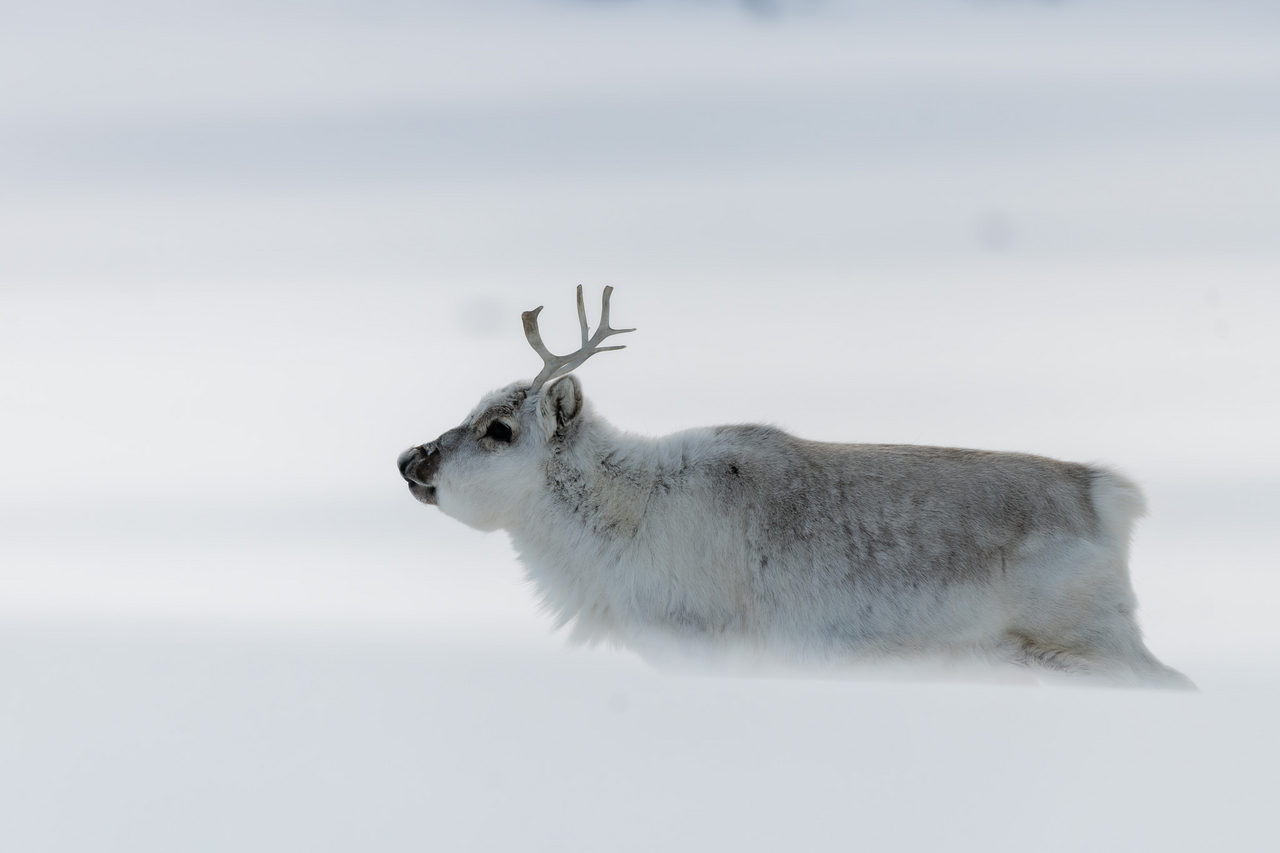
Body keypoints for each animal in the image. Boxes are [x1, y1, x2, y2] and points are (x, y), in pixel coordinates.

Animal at [397, 287, 1192, 688]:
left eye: (500, 428)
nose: (410, 459)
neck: (618, 518)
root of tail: (1102, 493)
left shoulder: (704, 644)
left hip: (1088, 642)